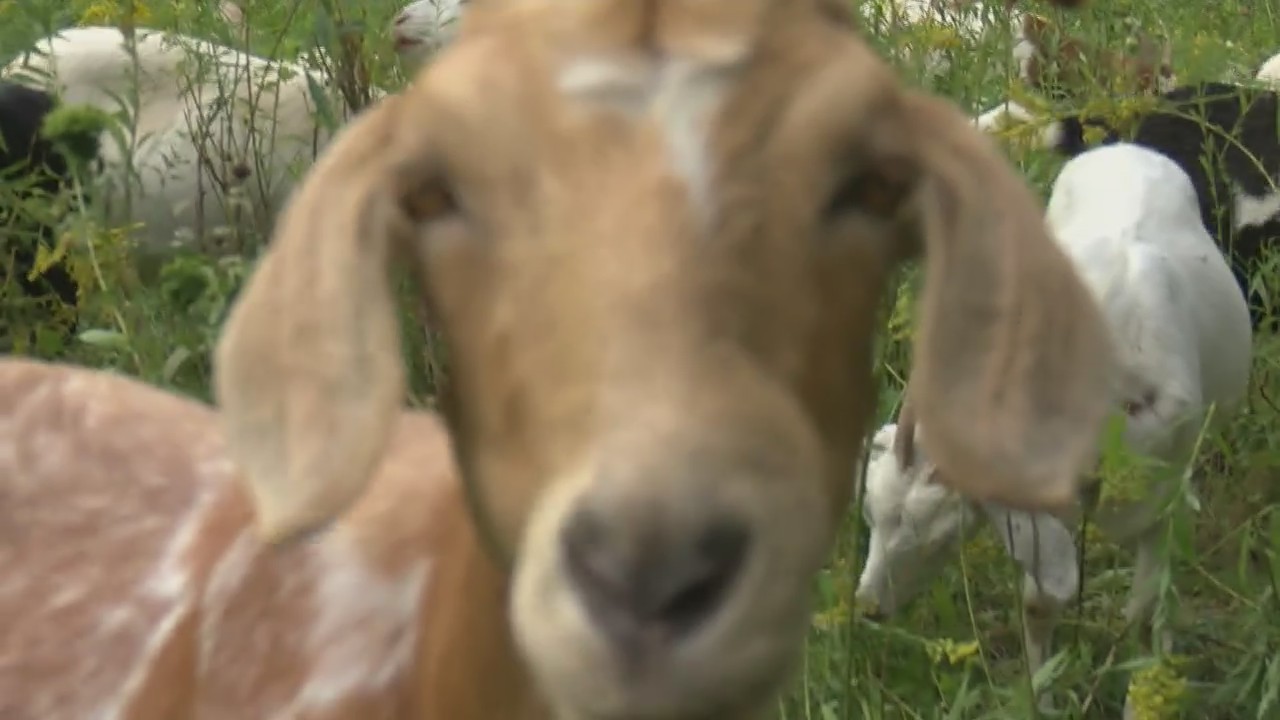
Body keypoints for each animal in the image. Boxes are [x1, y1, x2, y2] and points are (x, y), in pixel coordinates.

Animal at [856, 143, 1253, 717]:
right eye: (871, 514)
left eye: (939, 536)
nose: (868, 606)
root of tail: (1123, 146)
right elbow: (1040, 602)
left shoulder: (1167, 492)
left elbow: (1147, 607)